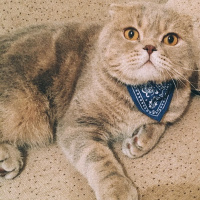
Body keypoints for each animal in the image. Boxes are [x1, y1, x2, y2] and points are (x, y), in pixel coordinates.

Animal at [0, 1, 197, 200]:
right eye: (131, 33)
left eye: (170, 39)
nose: (149, 47)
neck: (143, 94)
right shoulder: (76, 124)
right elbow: (98, 159)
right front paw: (117, 188)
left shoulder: (170, 111)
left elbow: (159, 124)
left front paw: (139, 142)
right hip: (21, 109)